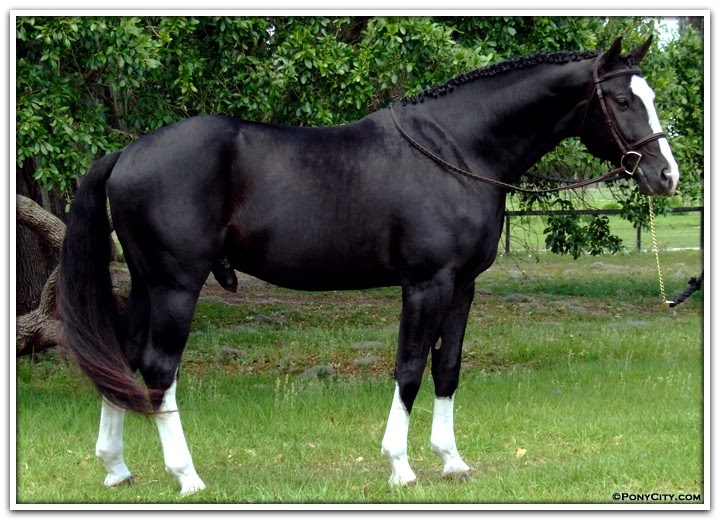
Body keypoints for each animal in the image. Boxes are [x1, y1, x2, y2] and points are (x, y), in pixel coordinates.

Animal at [58, 36, 679, 494]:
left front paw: (451, 461)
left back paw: (116, 467)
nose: (666, 175)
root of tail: (127, 152)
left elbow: (447, 367)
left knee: (124, 357)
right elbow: (409, 368)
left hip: (148, 285)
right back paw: (187, 476)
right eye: (623, 101)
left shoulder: (462, 287)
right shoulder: (425, 285)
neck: (456, 149)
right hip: (176, 286)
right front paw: (400, 466)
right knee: (159, 370)